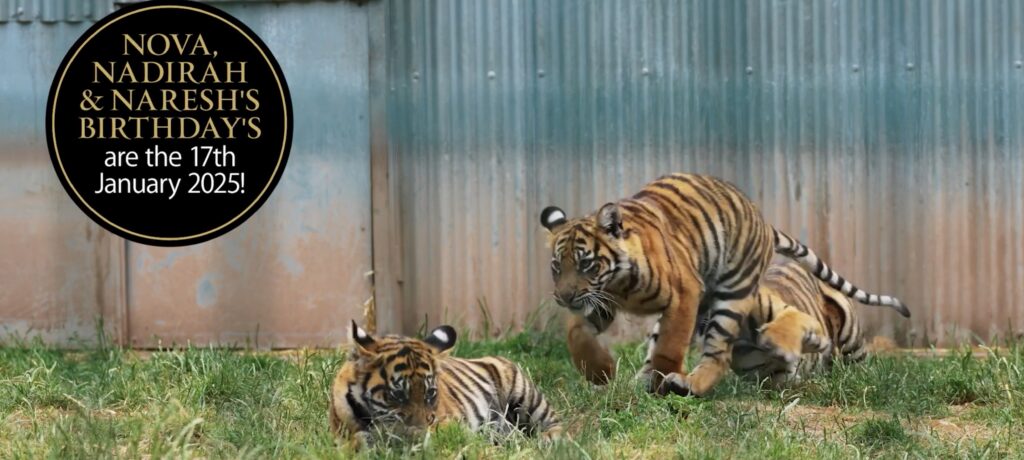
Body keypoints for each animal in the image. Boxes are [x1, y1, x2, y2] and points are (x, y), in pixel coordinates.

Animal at [329, 321, 562, 449]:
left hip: (526, 397)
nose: (418, 431)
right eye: (398, 395)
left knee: (555, 423)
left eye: (430, 393)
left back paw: (548, 440)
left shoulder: (447, 423)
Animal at [539, 173, 909, 397]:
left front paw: (662, 380)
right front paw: (599, 370)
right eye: (557, 267)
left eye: (586, 263)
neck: (620, 285)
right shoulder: (601, 299)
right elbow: (576, 332)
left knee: (719, 353)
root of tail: (763, 220)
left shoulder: (684, 293)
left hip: (734, 294)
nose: (564, 297)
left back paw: (687, 384)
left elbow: (670, 347)